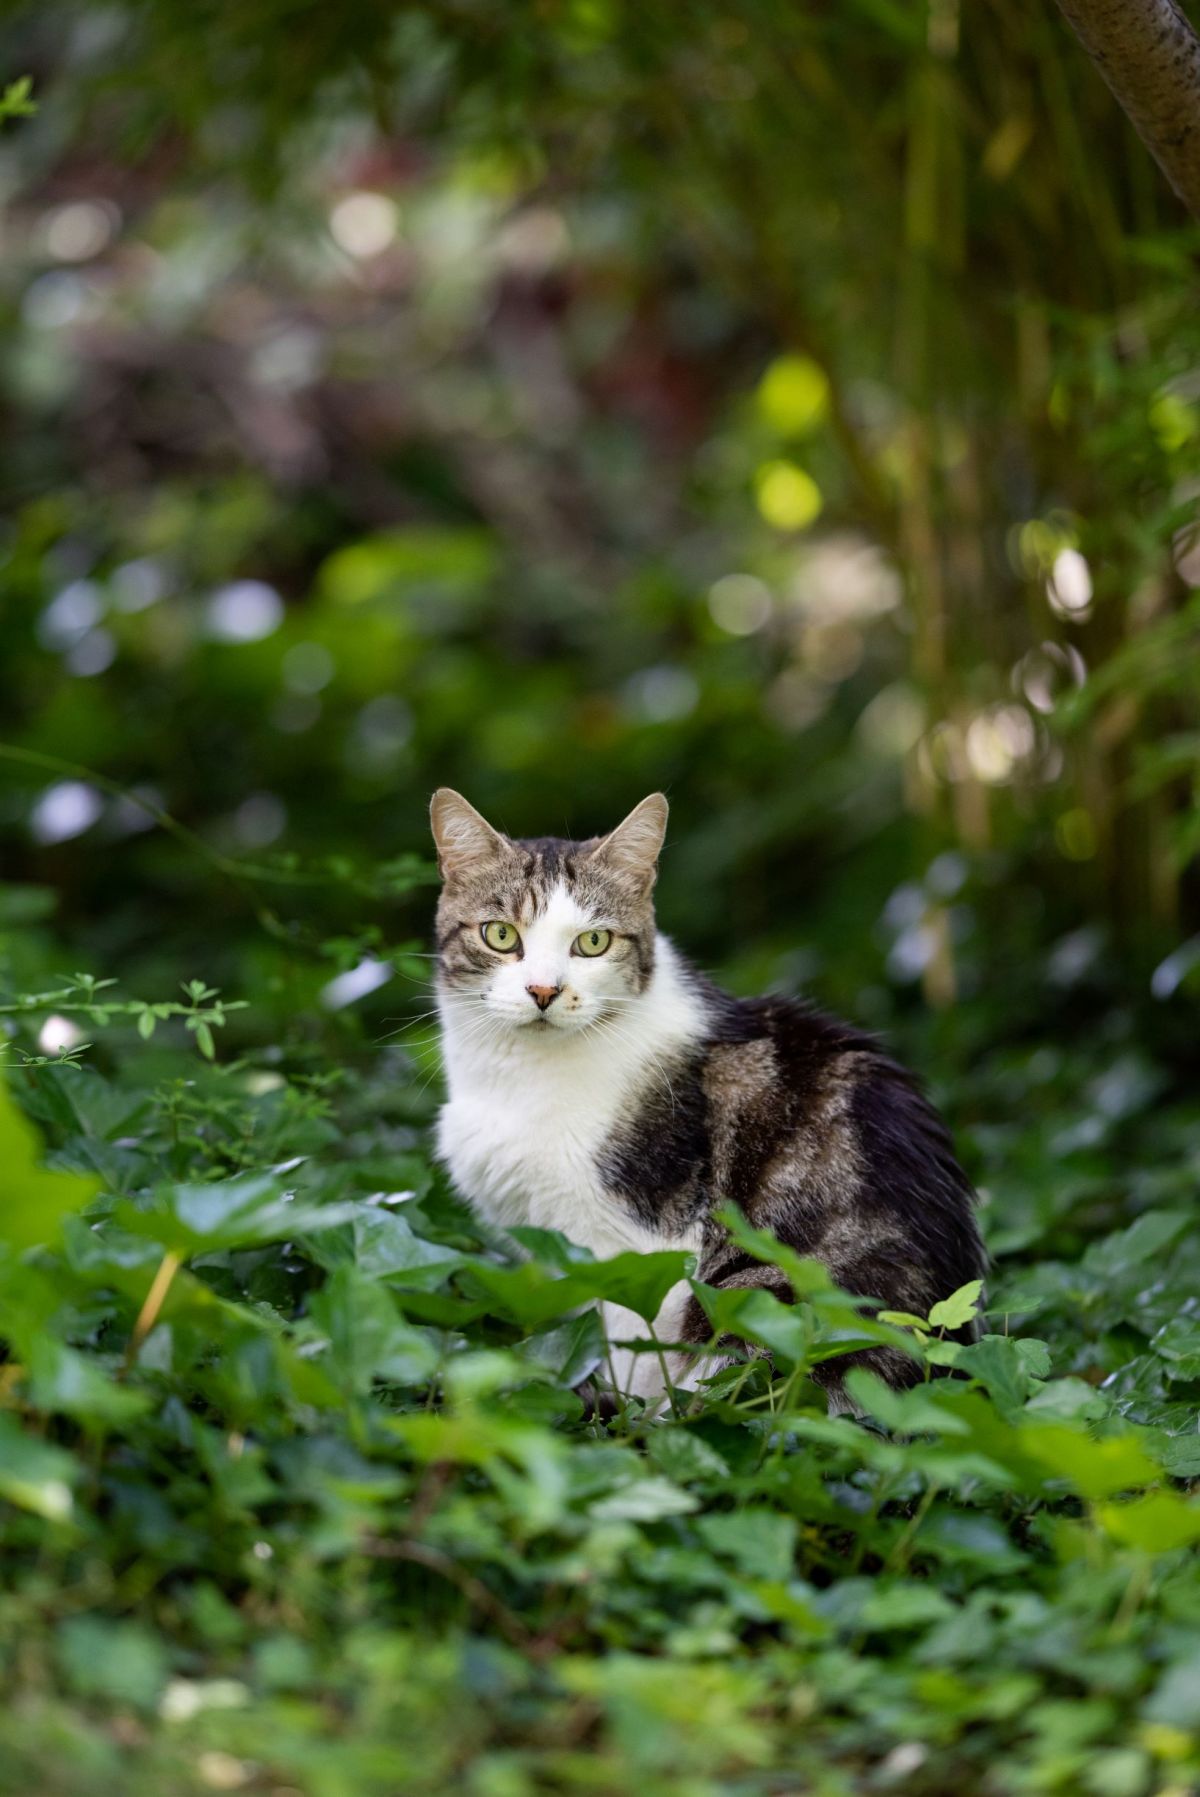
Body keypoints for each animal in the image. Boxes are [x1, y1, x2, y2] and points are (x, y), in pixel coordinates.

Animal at [431, 787, 984, 1401]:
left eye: (592, 942)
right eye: (500, 935)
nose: (544, 990)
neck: (518, 1074)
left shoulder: (635, 1251)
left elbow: (632, 1344)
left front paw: (628, 1417)